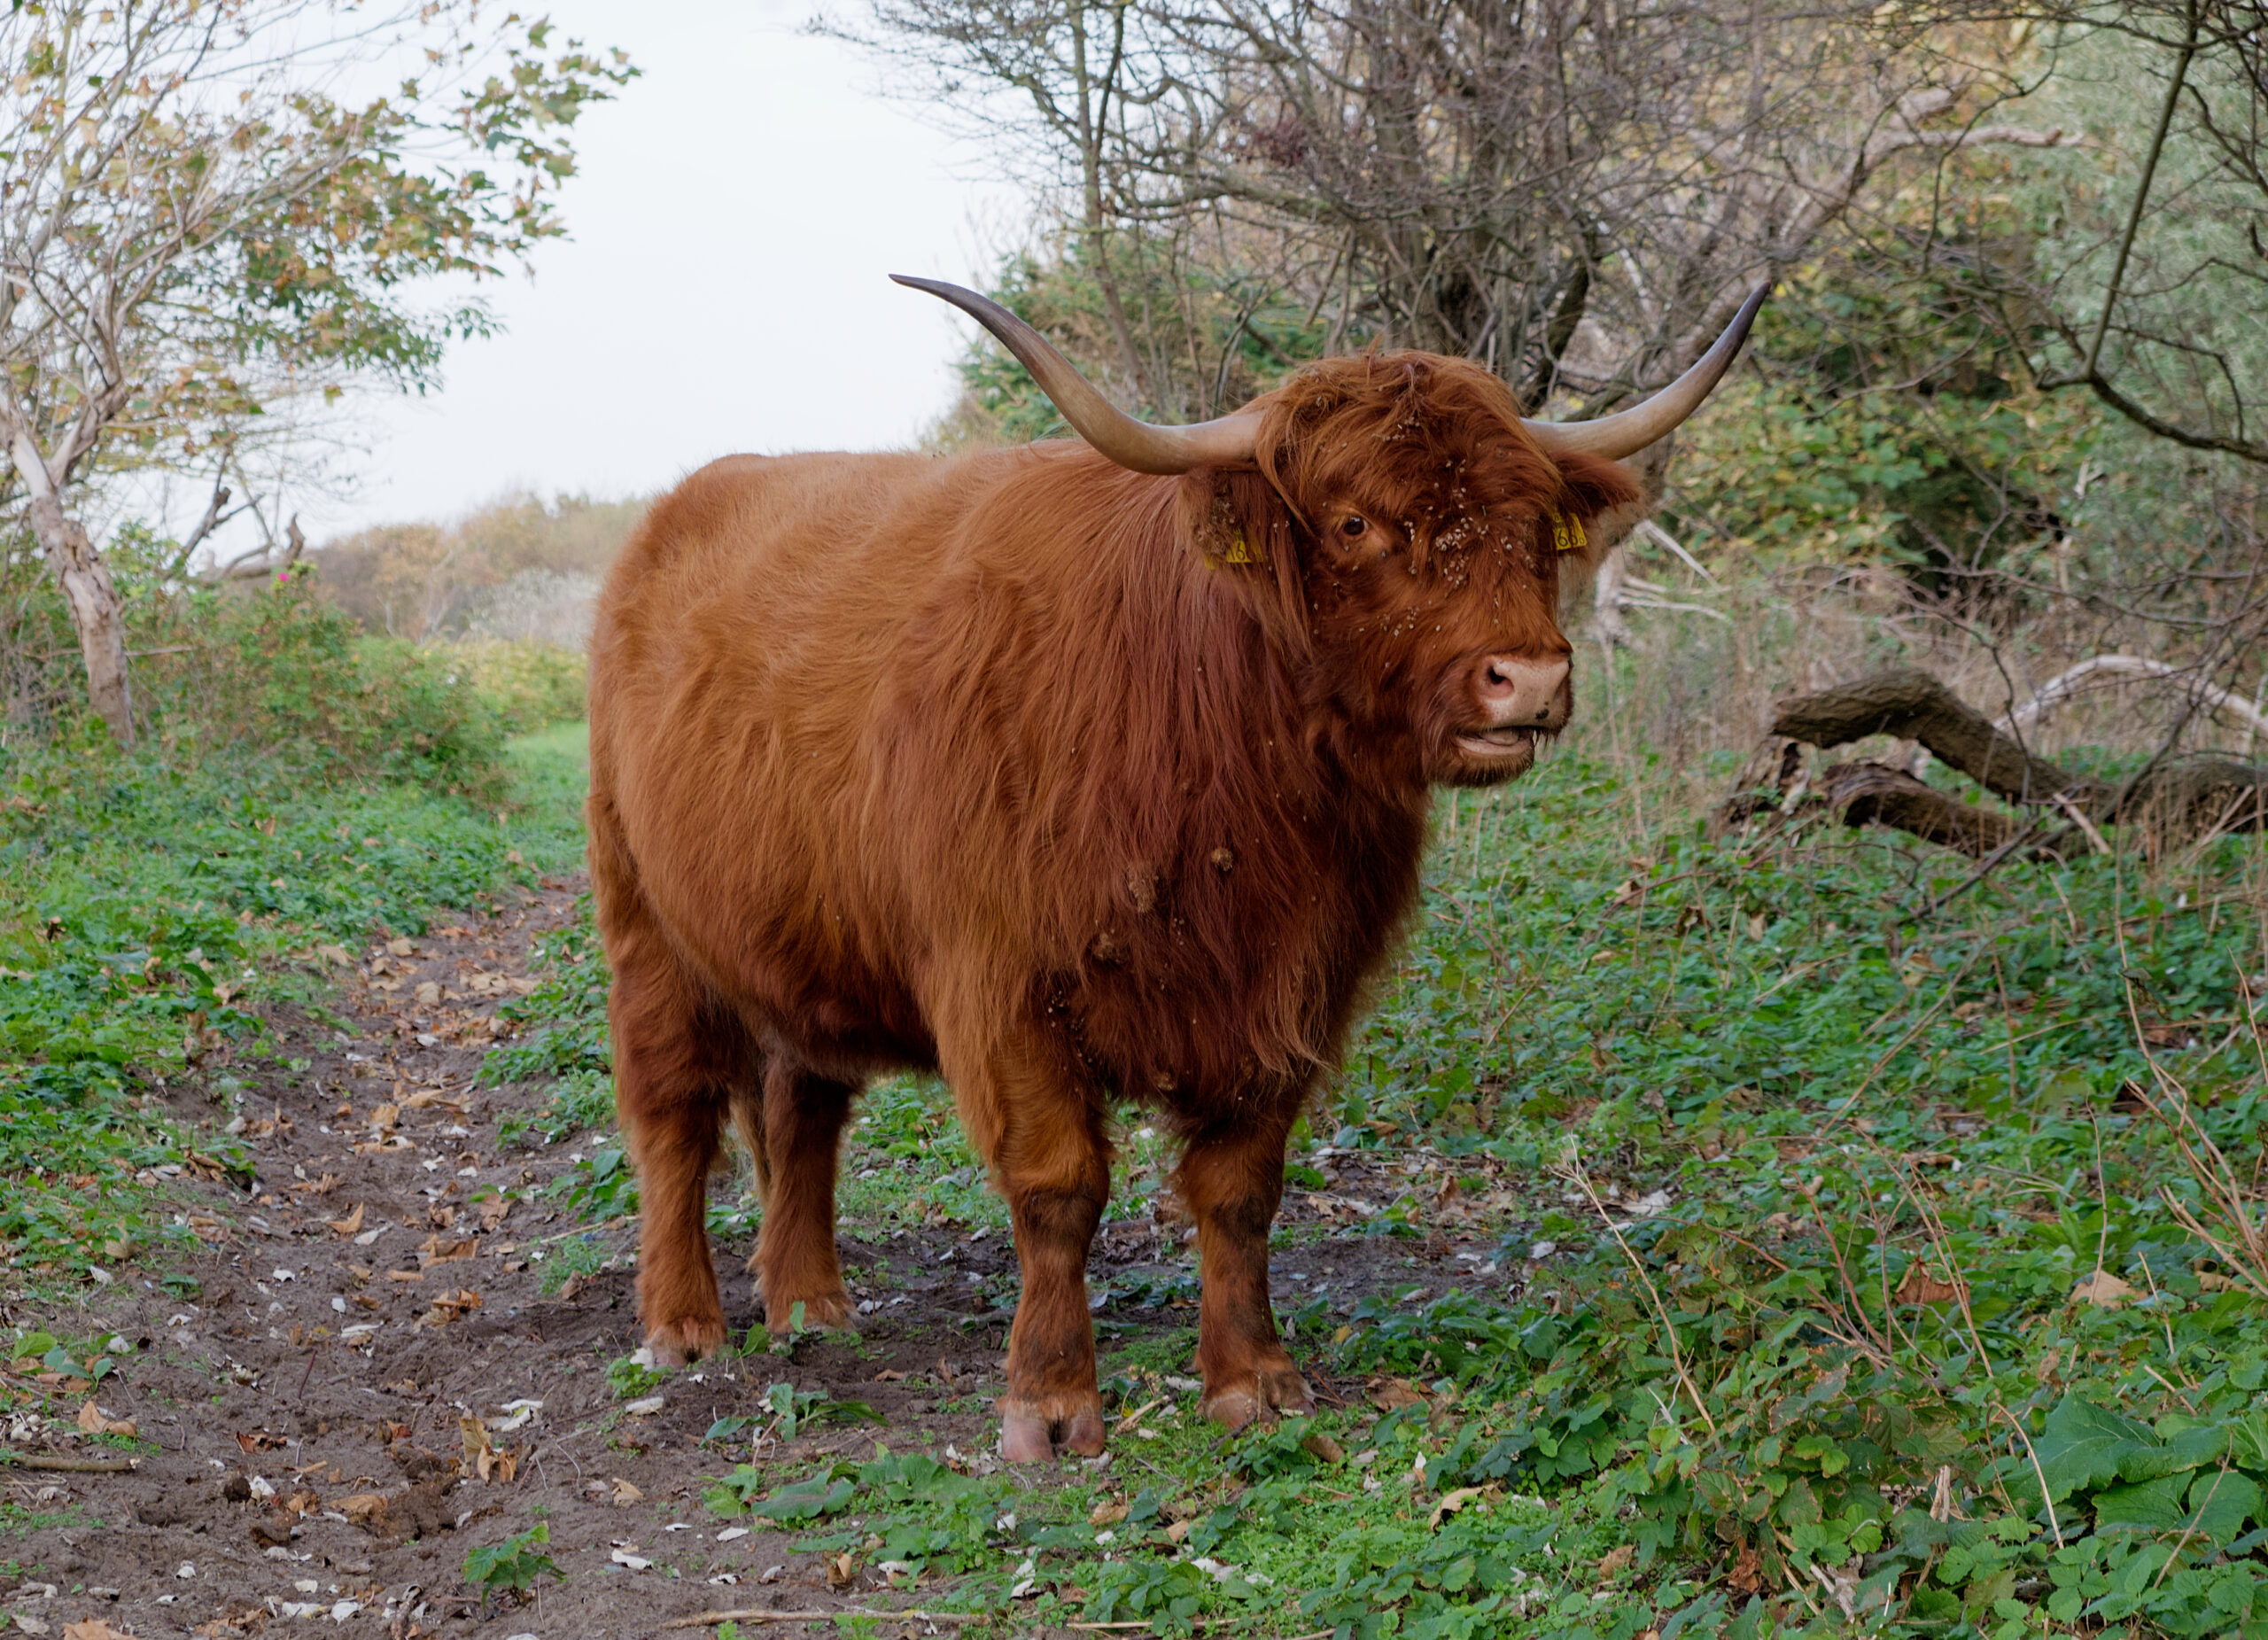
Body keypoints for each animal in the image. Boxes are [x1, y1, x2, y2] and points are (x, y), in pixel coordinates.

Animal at [586, 277, 1763, 1460]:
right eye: (1353, 521)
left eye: (1529, 520)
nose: (1527, 678)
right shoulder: (1004, 986)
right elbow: (1058, 1188)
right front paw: (1051, 1403)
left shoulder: (1291, 988)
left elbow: (1240, 1191)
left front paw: (1253, 1380)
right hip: (646, 926)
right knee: (673, 1117)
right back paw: (683, 1324)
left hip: (795, 940)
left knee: (801, 1107)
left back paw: (811, 1303)